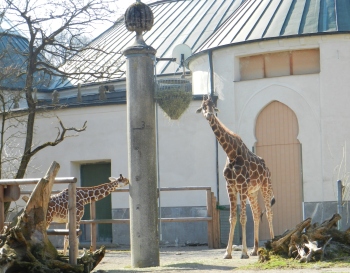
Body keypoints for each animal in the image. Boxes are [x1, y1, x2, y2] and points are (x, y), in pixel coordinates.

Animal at [197, 96, 274, 260]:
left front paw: (243, 252)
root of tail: (267, 168)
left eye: (212, 106)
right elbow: (232, 218)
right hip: (252, 192)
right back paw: (255, 250)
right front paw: (227, 252)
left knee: (269, 213)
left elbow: (243, 218)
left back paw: (272, 243)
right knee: (257, 212)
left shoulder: (242, 186)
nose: (209, 115)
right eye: (203, 106)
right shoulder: (231, 187)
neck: (231, 153)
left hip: (266, 186)